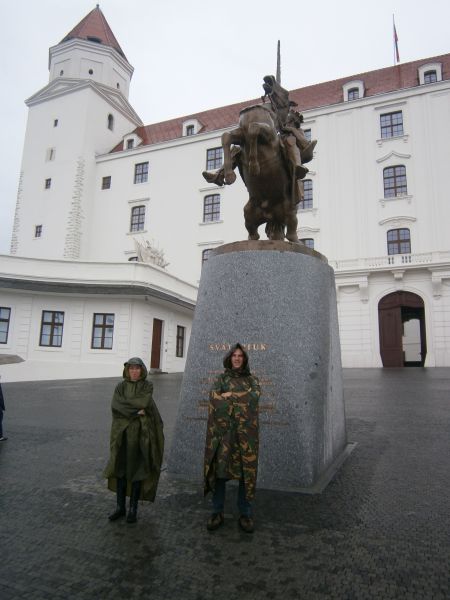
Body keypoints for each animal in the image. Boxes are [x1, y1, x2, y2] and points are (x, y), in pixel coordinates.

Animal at [221, 103, 298, 241]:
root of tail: (271, 216)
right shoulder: (241, 134)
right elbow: (226, 136)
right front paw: (229, 175)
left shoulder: (268, 135)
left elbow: (254, 129)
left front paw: (253, 165)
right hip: (249, 214)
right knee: (253, 234)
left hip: (289, 210)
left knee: (291, 233)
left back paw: (297, 241)